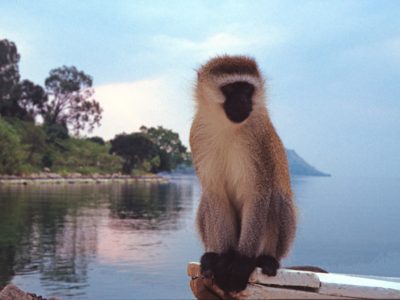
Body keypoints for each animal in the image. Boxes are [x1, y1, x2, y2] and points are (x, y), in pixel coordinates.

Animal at [190, 55, 296, 292]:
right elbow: (215, 194)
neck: (227, 127)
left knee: (275, 198)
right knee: (206, 202)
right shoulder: (197, 134)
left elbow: (259, 193)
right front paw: (224, 257)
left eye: (247, 89)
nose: (242, 102)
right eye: (230, 89)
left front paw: (242, 262)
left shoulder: (259, 139)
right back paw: (212, 257)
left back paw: (265, 259)